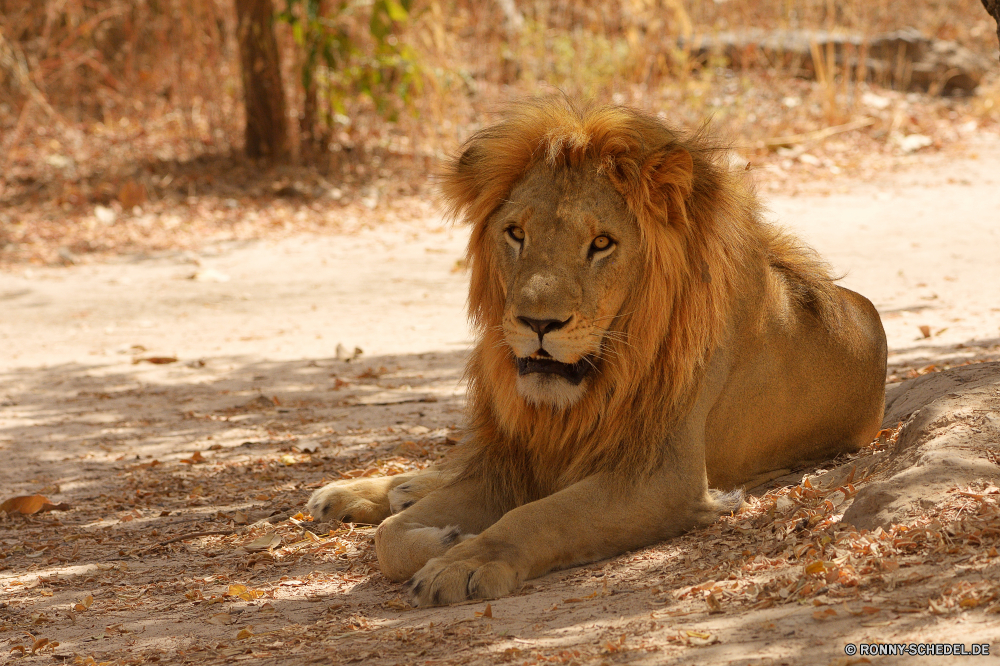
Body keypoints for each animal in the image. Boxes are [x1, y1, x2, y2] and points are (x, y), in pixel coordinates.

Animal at [308, 100, 888, 608]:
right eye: (515, 233)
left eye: (602, 244)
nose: (538, 323)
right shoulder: (518, 459)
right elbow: (389, 537)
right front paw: (445, 538)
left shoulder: (661, 476)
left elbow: (539, 517)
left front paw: (464, 562)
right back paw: (363, 492)